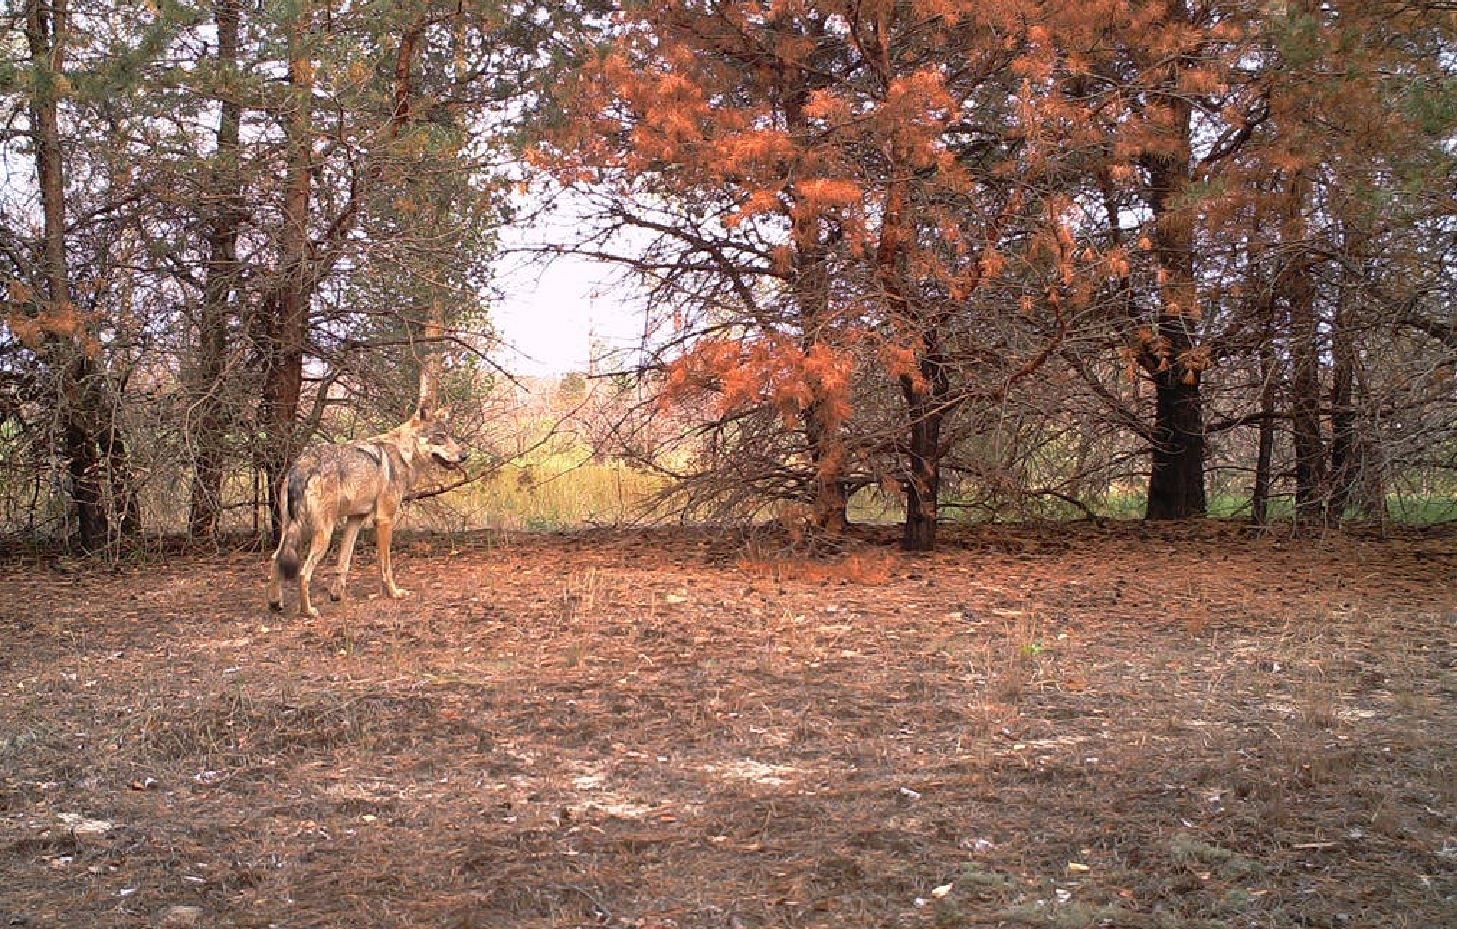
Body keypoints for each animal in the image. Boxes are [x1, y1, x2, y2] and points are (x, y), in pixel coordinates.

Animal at [263, 404, 466, 623]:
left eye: (449, 435)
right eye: (440, 437)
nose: (464, 456)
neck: (402, 454)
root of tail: (302, 465)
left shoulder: (355, 519)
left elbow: (343, 562)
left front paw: (337, 595)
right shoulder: (384, 519)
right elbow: (385, 566)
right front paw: (393, 593)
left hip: (293, 530)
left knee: (276, 557)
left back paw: (275, 603)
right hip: (322, 533)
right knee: (303, 573)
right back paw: (307, 611)